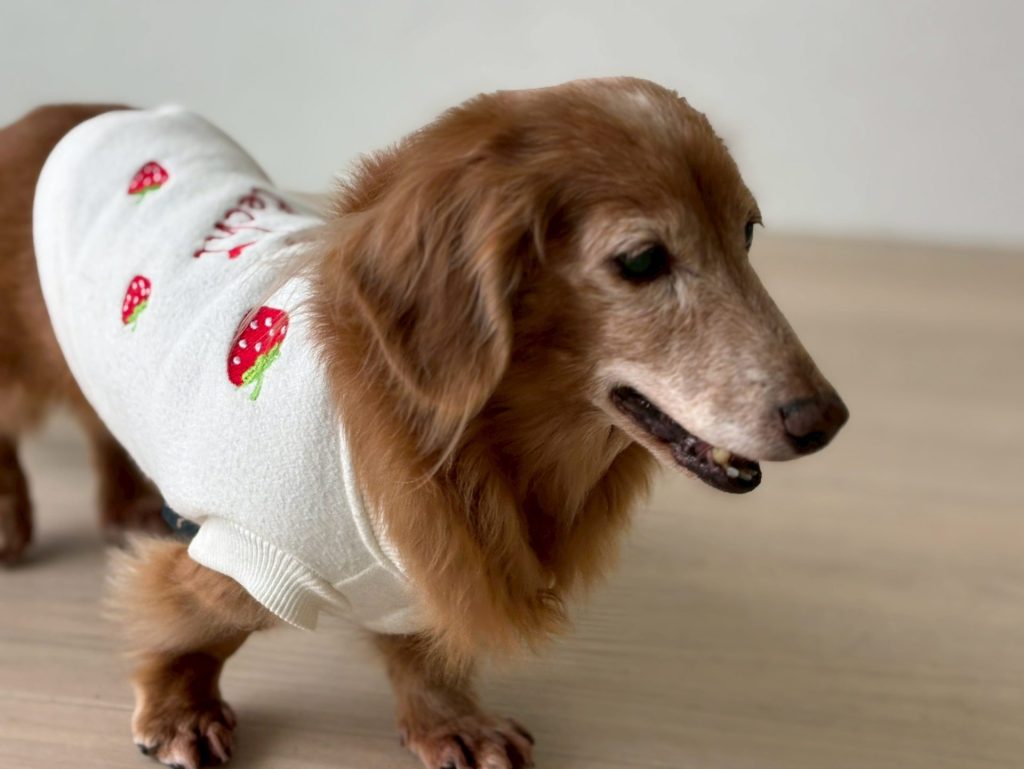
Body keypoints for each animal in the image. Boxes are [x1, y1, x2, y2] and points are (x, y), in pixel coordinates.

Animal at [0, 77, 848, 769]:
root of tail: (65, 114)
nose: (827, 420)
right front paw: (180, 705)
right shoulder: (246, 556)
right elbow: (186, 623)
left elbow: (423, 650)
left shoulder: (425, 575)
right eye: (641, 260)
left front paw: (450, 721)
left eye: (747, 232)